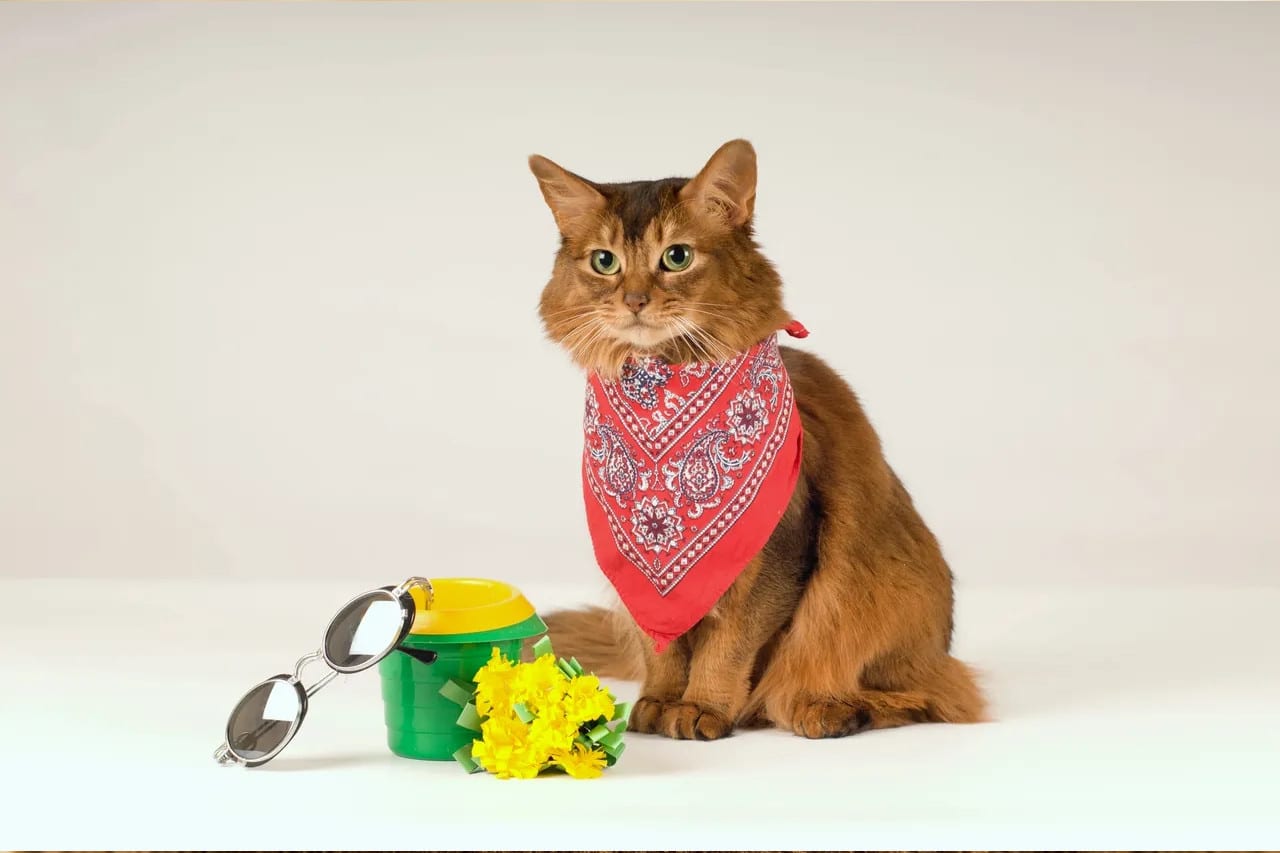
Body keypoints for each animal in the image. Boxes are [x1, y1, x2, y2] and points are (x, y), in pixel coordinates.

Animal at [529, 140, 988, 737]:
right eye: (603, 262)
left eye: (677, 257)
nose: (634, 300)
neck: (662, 390)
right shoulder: (639, 571)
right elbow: (662, 645)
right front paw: (660, 699)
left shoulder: (781, 547)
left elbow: (730, 642)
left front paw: (703, 706)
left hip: (888, 587)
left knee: (940, 695)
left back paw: (832, 708)